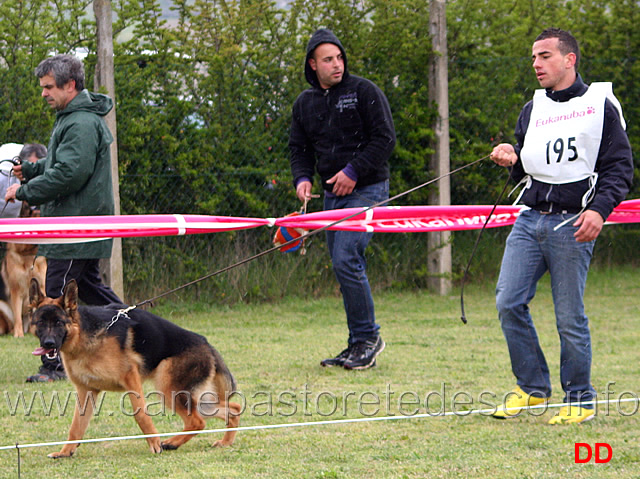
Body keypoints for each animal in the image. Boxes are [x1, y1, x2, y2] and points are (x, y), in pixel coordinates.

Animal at [29, 280, 242, 460]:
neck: (84, 336)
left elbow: (141, 415)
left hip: (169, 390)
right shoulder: (85, 391)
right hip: (197, 399)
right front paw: (66, 451)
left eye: (58, 323)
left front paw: (154, 443)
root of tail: (207, 345)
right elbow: (76, 427)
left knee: (197, 422)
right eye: (40, 323)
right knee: (233, 409)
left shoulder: (130, 378)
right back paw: (225, 442)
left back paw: (171, 443)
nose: (48, 343)